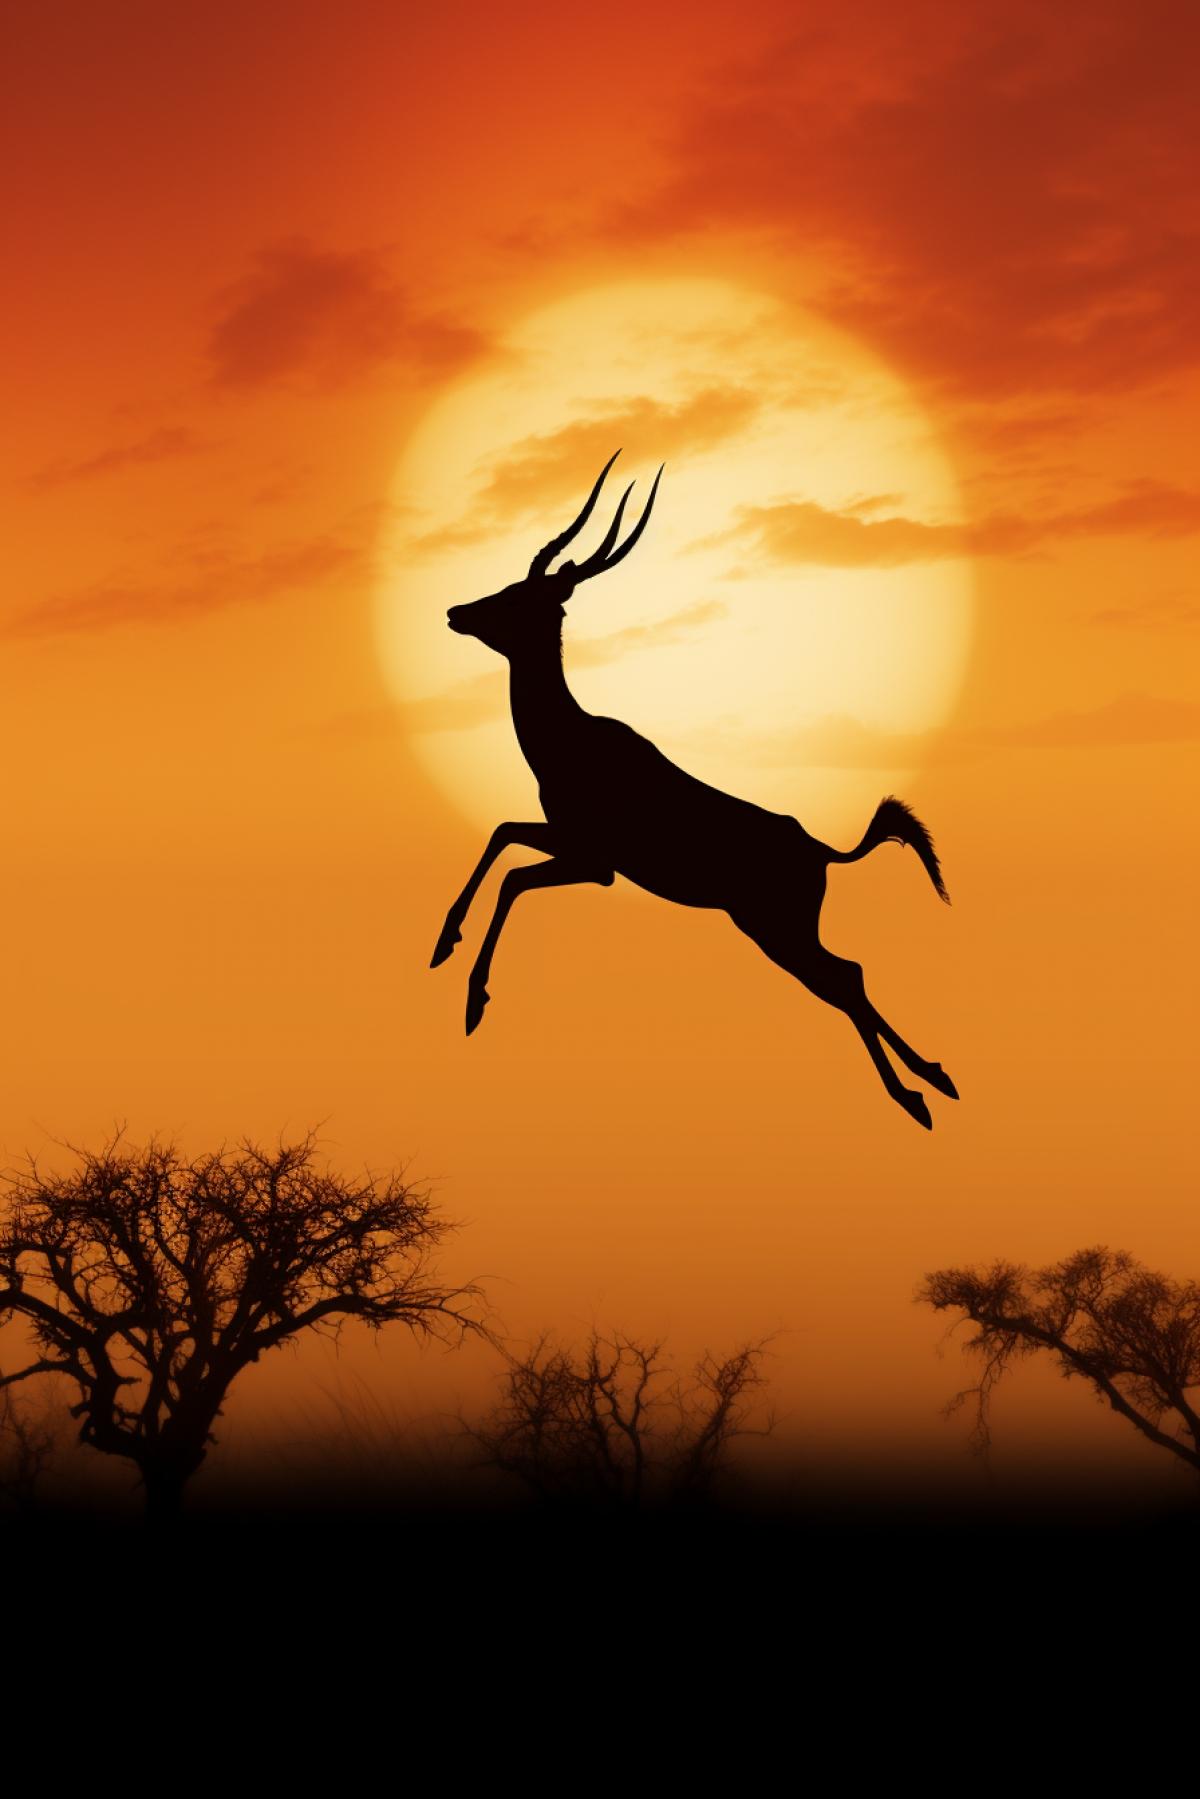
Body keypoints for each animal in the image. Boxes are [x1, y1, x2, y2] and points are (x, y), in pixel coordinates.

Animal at [430, 452, 959, 1129]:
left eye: (516, 595)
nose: (457, 612)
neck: (567, 740)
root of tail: (821, 850)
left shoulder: (596, 863)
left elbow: (512, 877)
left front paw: (474, 1000)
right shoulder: (573, 844)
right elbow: (501, 835)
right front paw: (443, 944)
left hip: (774, 929)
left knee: (844, 979)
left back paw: (917, 1095)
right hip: (774, 929)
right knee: (849, 975)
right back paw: (933, 1082)